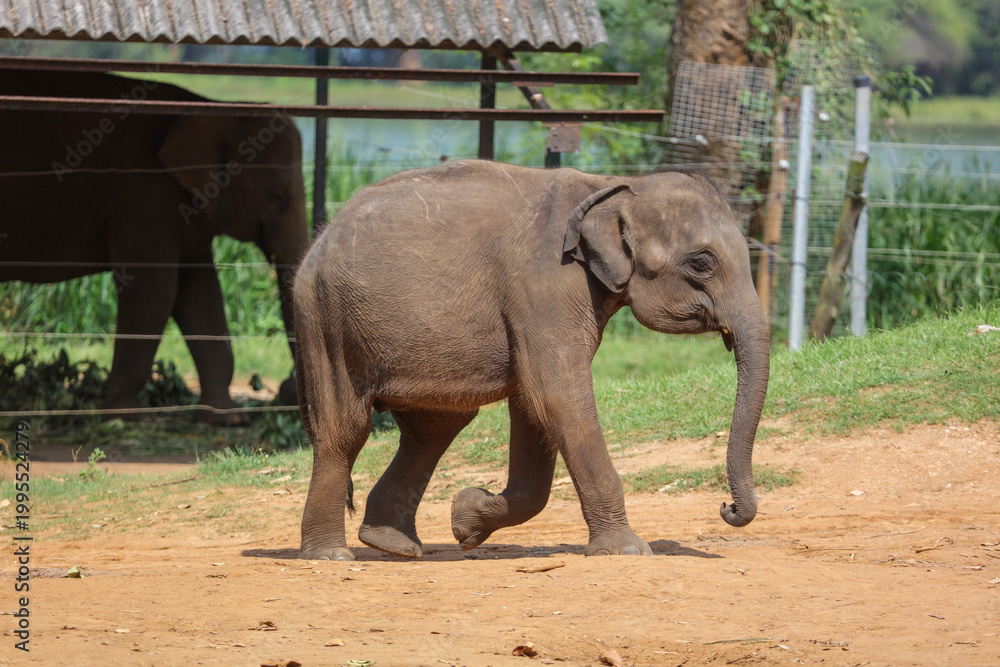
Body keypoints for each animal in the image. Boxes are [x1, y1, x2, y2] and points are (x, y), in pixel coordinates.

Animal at [0, 71, 309, 423]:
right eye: (277, 197)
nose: (285, 387)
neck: (213, 108)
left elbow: (200, 293)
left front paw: (227, 419)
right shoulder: (144, 193)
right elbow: (155, 287)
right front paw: (125, 416)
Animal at [293, 160, 770, 561]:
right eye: (702, 263)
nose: (725, 506)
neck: (613, 185)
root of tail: (320, 237)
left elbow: (532, 407)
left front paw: (464, 520)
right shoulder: (546, 285)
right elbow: (556, 396)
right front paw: (628, 551)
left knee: (435, 427)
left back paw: (392, 544)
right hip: (325, 321)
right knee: (345, 430)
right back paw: (332, 556)